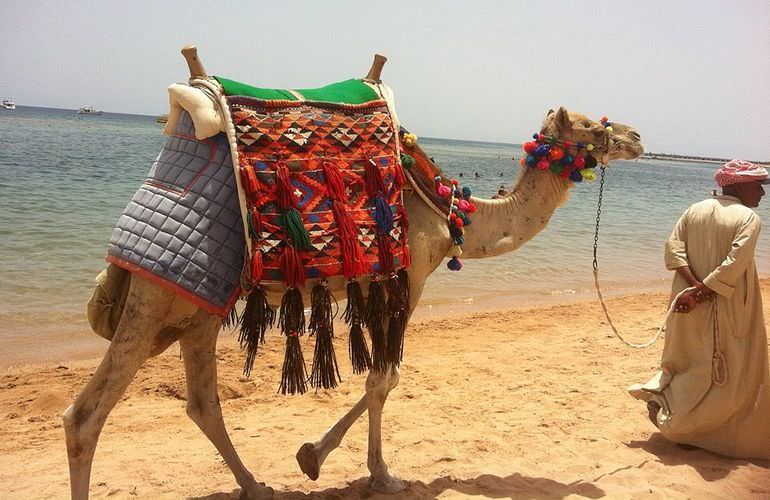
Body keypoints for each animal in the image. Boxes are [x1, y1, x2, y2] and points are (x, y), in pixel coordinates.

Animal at [64, 47, 640, 496]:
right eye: (591, 125)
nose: (635, 136)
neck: (451, 210)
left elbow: (381, 377)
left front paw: (315, 458)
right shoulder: (409, 276)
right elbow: (385, 378)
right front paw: (373, 472)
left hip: (196, 309)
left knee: (203, 403)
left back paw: (256, 486)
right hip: (156, 298)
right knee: (85, 416)